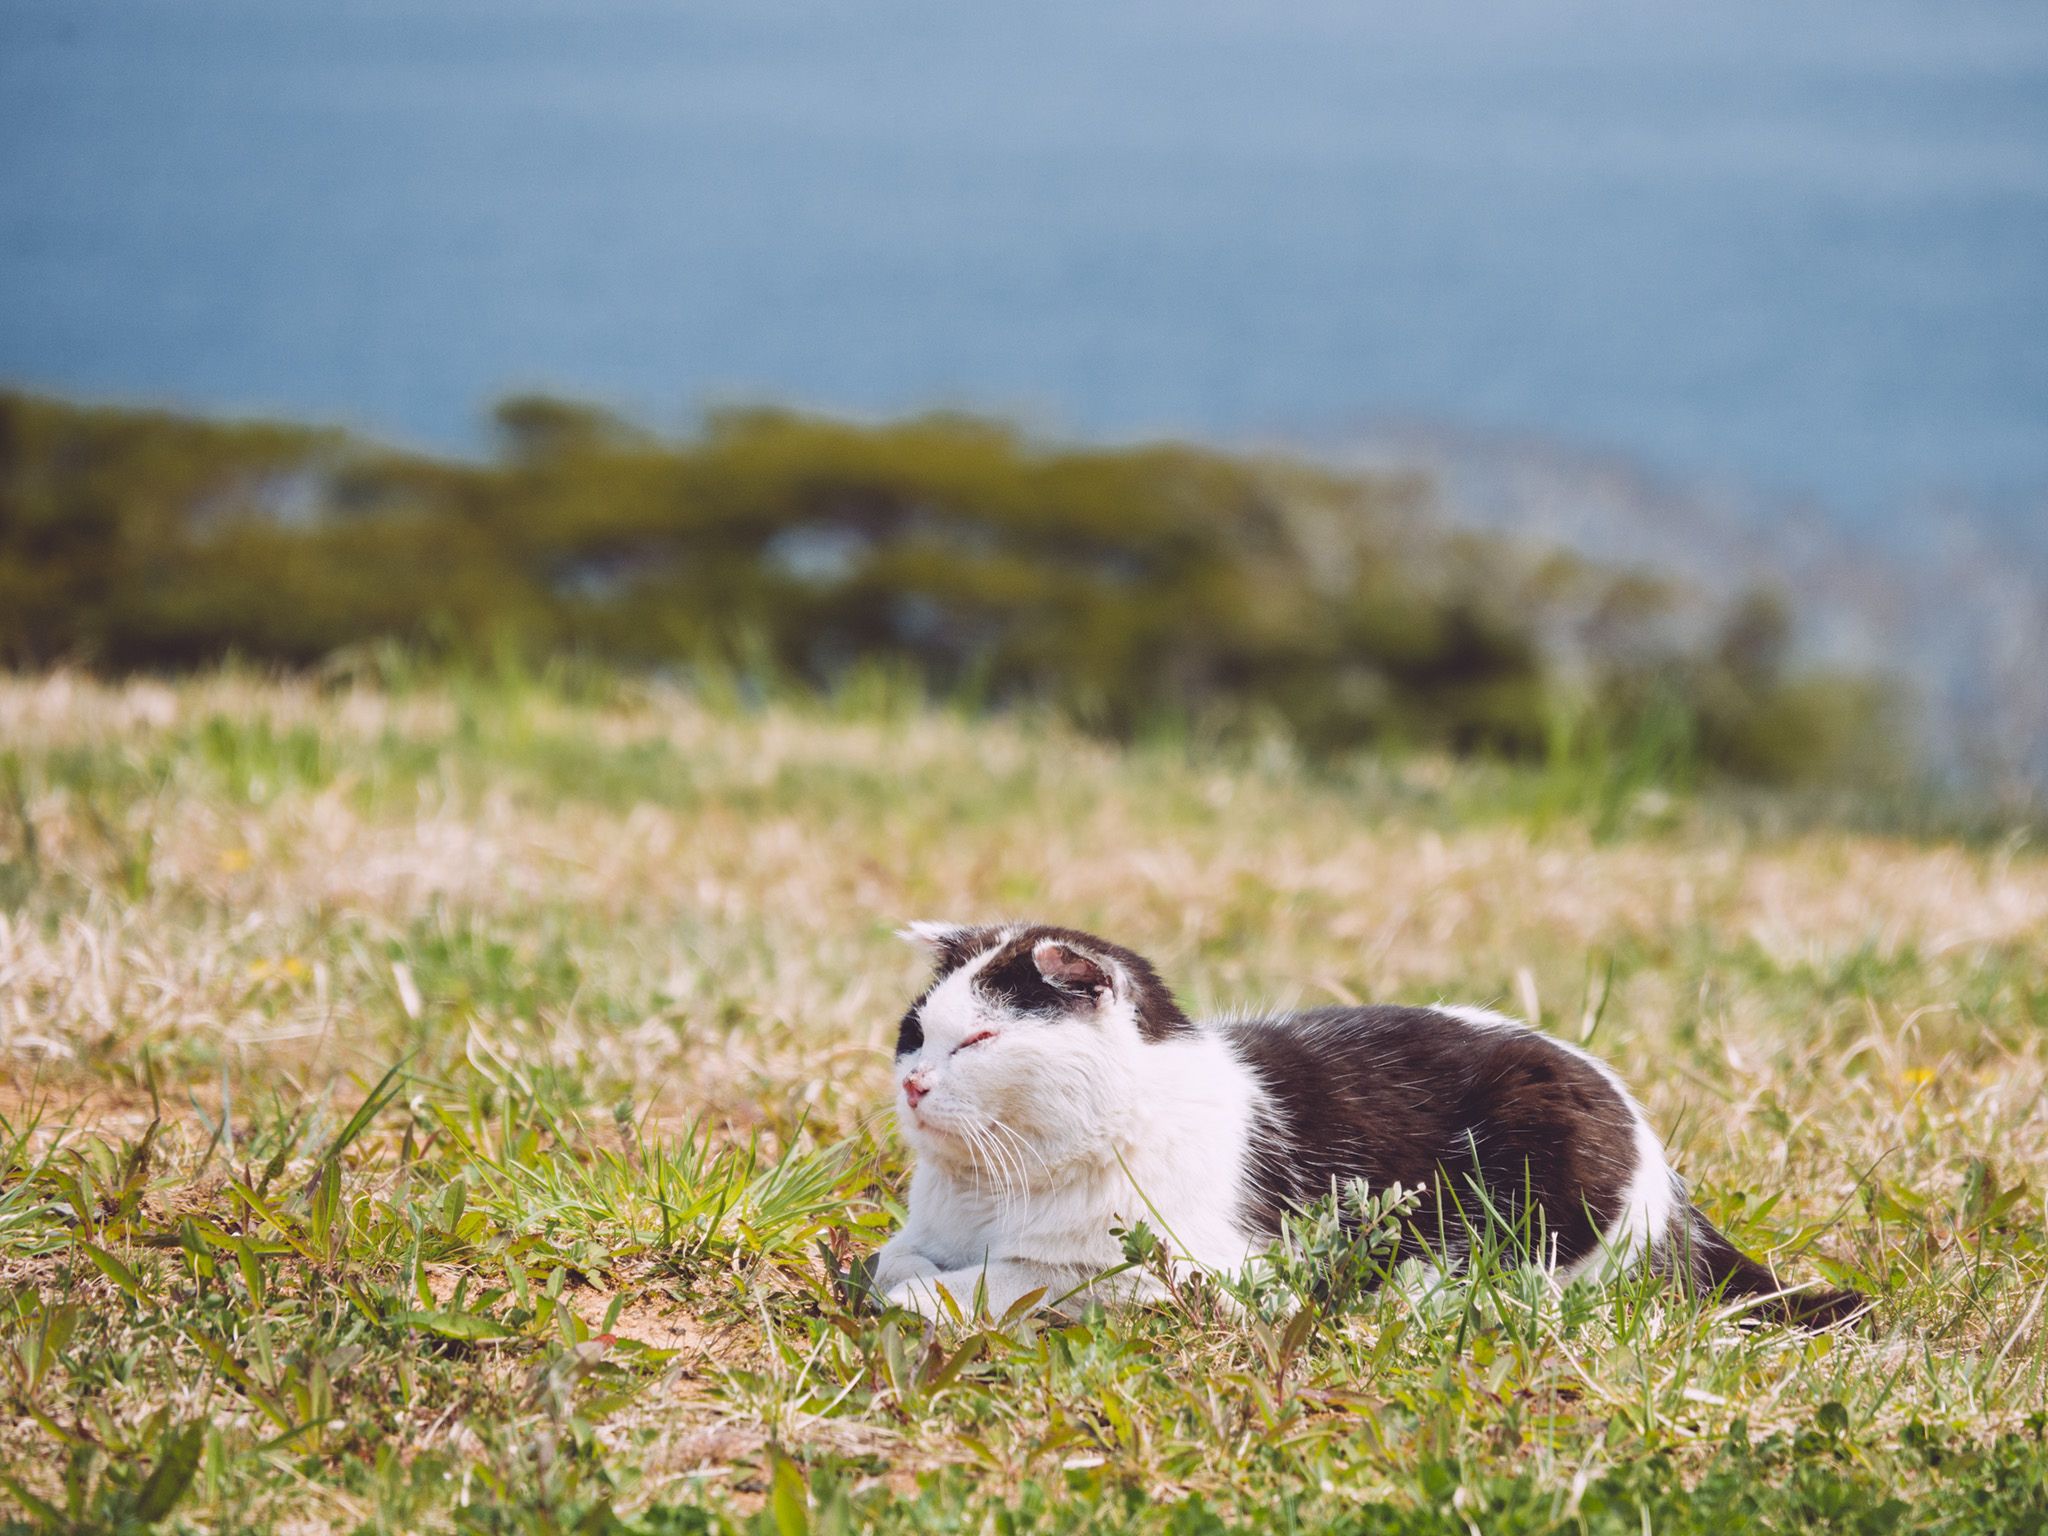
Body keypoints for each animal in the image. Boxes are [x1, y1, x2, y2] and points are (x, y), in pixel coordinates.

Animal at [872, 925, 1867, 1335]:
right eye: (914, 1031)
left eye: (982, 1039)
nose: (914, 1083)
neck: (995, 1188)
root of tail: (1665, 1177)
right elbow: (894, 1256)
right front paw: (909, 1273)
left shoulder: (1186, 1272)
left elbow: (1018, 1280)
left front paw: (929, 1298)